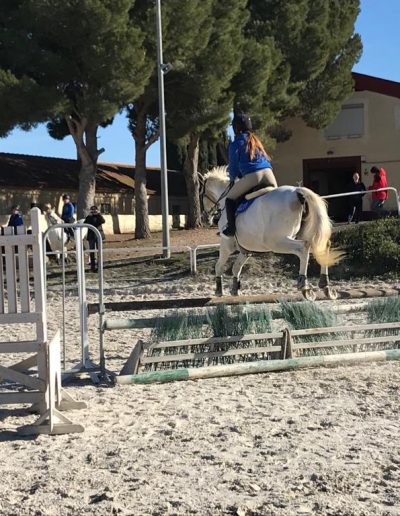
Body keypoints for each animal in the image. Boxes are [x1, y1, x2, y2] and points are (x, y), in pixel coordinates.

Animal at [200, 166, 341, 300]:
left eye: (202, 194)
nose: (205, 218)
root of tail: (297, 192)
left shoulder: (227, 244)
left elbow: (219, 266)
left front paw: (219, 290)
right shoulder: (246, 249)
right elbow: (236, 267)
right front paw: (235, 289)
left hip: (276, 242)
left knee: (303, 248)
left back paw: (304, 286)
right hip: (299, 236)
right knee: (322, 246)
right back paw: (325, 286)